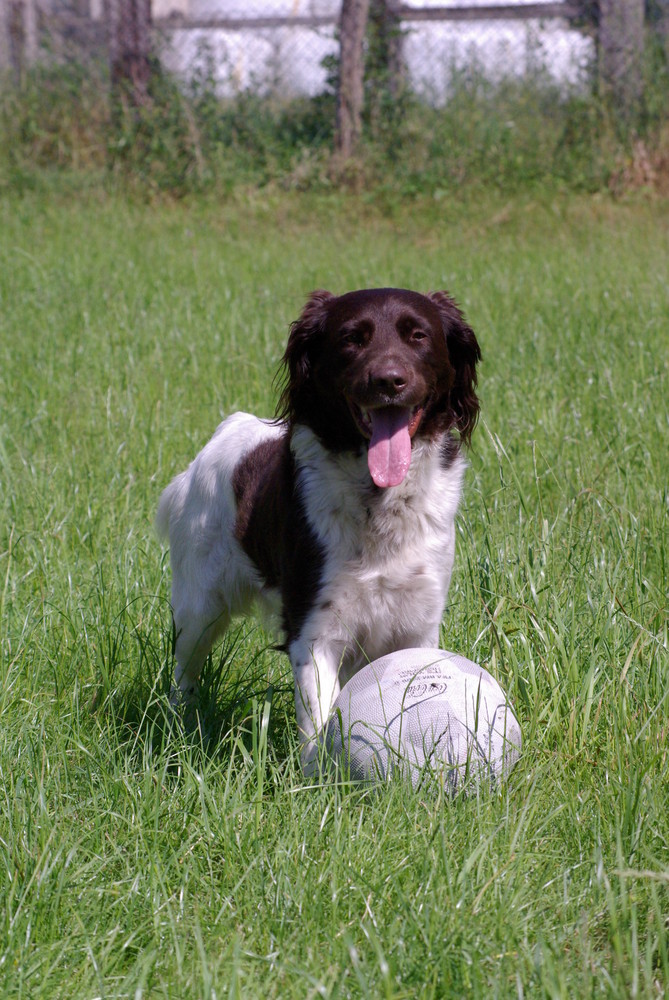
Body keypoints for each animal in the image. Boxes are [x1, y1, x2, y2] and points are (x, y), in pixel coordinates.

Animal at [157, 286, 480, 768]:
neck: (377, 501)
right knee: (184, 674)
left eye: (418, 335)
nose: (389, 380)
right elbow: (319, 723)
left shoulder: (418, 624)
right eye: (352, 339)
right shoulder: (315, 630)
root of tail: (228, 428)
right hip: (200, 605)